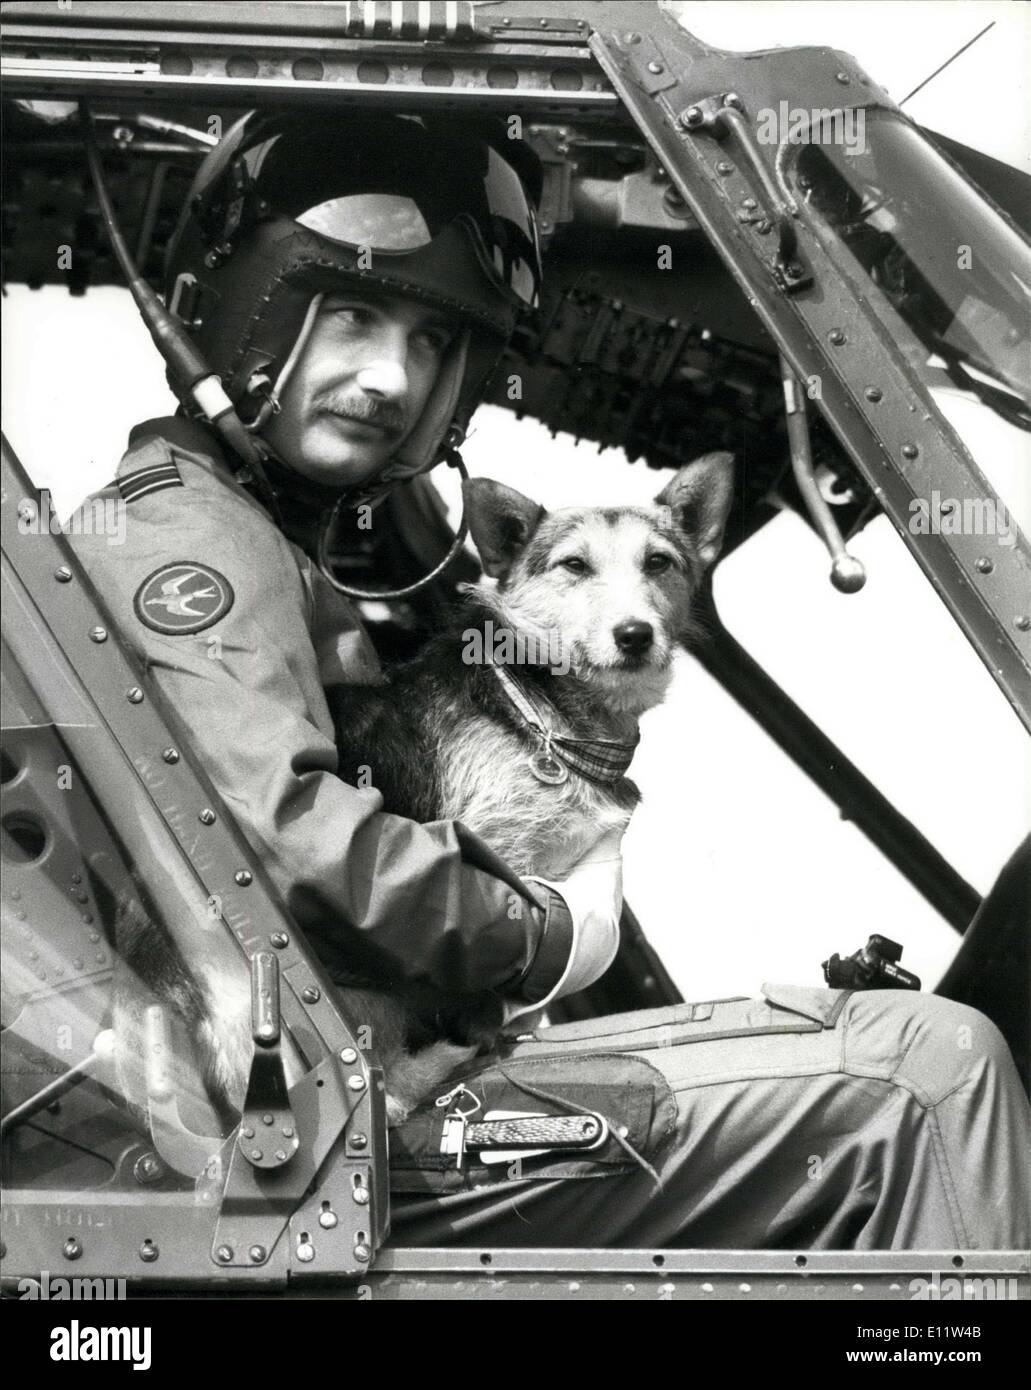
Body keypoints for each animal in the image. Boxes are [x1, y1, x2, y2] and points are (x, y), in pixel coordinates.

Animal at [326, 450, 739, 1123]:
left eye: (658, 562)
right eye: (575, 565)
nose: (635, 635)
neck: (543, 712)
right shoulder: (495, 873)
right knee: (393, 1087)